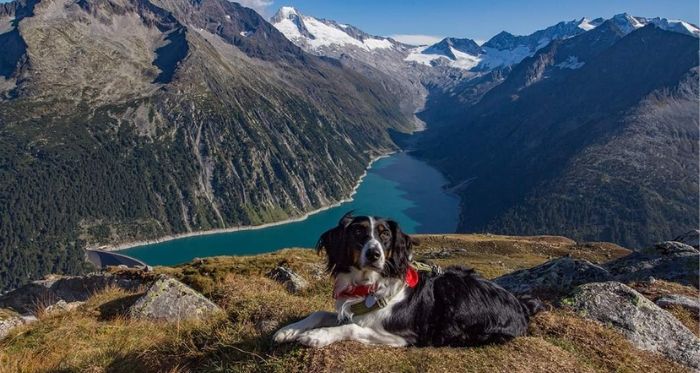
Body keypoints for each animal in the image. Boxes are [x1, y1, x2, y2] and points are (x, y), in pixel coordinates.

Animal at [274, 214, 540, 348]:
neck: (369, 286)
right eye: (358, 232)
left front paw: (317, 336)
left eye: (385, 236)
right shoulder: (351, 311)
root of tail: (521, 305)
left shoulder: (401, 336)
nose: (375, 254)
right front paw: (288, 330)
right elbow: (319, 313)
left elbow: (351, 327)